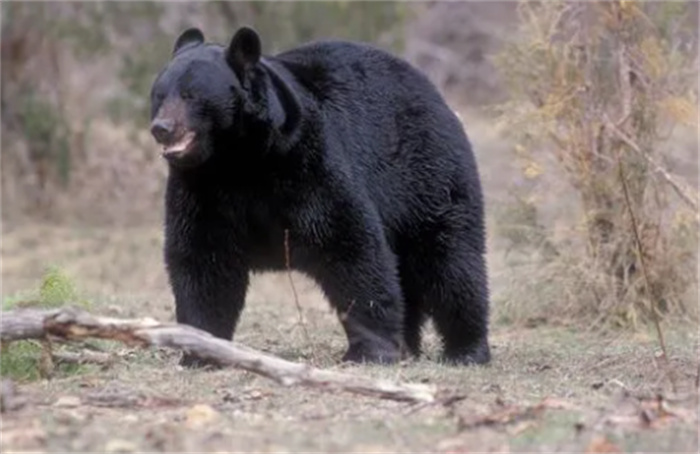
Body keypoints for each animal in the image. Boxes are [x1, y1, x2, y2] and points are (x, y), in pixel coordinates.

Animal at [150, 24, 490, 368]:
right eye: (159, 95)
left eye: (191, 94)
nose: (161, 127)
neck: (241, 159)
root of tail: (432, 89)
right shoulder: (202, 189)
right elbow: (203, 260)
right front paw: (201, 349)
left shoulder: (308, 163)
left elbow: (350, 245)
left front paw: (370, 350)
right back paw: (409, 345)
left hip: (426, 176)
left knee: (450, 264)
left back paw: (466, 349)